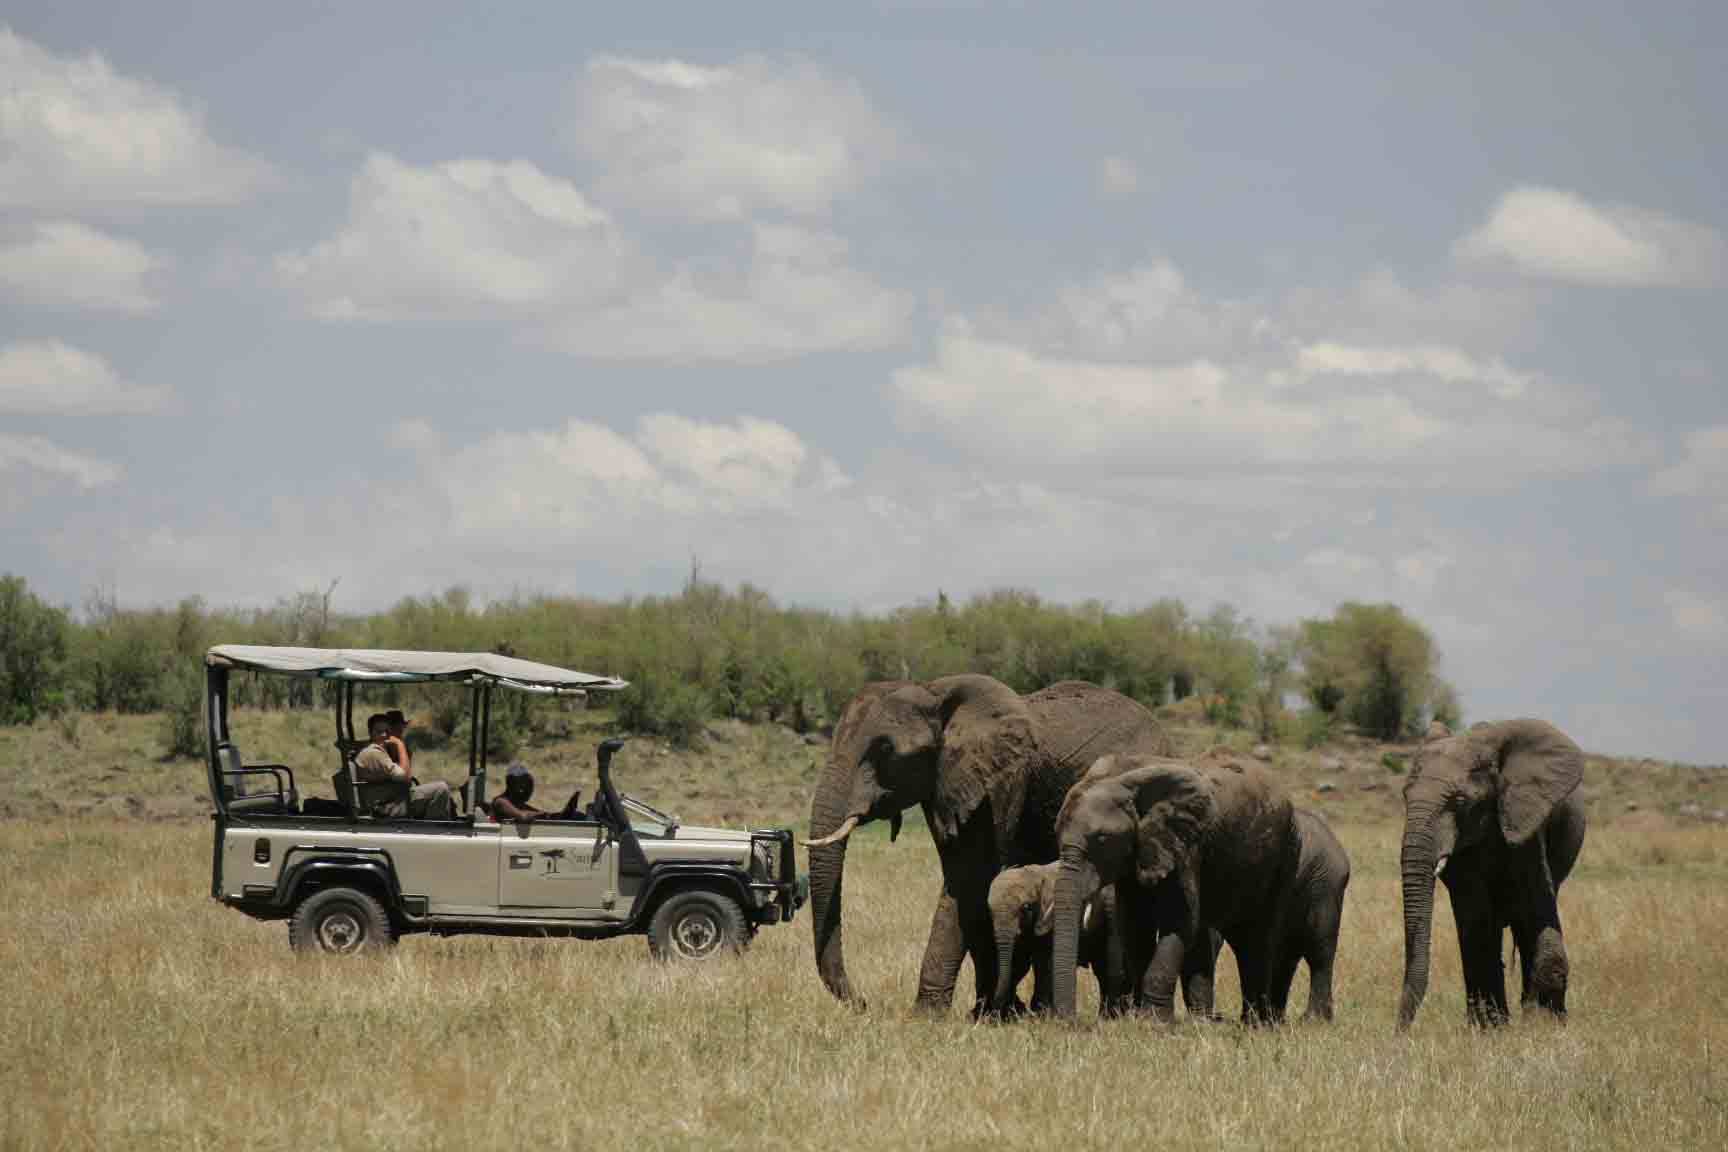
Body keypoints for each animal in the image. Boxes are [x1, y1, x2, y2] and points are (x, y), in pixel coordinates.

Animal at [985, 863, 1116, 1015]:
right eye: (990, 911)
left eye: (1026, 907)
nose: (995, 1005)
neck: (1035, 874)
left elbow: (1046, 962)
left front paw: (1043, 1012)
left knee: (1102, 969)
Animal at [1045, 752, 1300, 1023]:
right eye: (1056, 833)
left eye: (1102, 839)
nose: (1070, 1020)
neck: (1125, 776)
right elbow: (1135, 926)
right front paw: (1140, 1018)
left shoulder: (1183, 847)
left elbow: (1179, 921)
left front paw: (1155, 1022)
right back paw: (1205, 1021)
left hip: (1286, 852)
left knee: (1259, 937)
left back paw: (1257, 1024)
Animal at [1397, 719, 1586, 1031]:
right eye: (1404, 797)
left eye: (1460, 801)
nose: (1399, 1031)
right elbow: (1477, 919)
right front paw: (1491, 1030)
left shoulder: (1525, 823)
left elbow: (1536, 903)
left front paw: (1545, 1025)